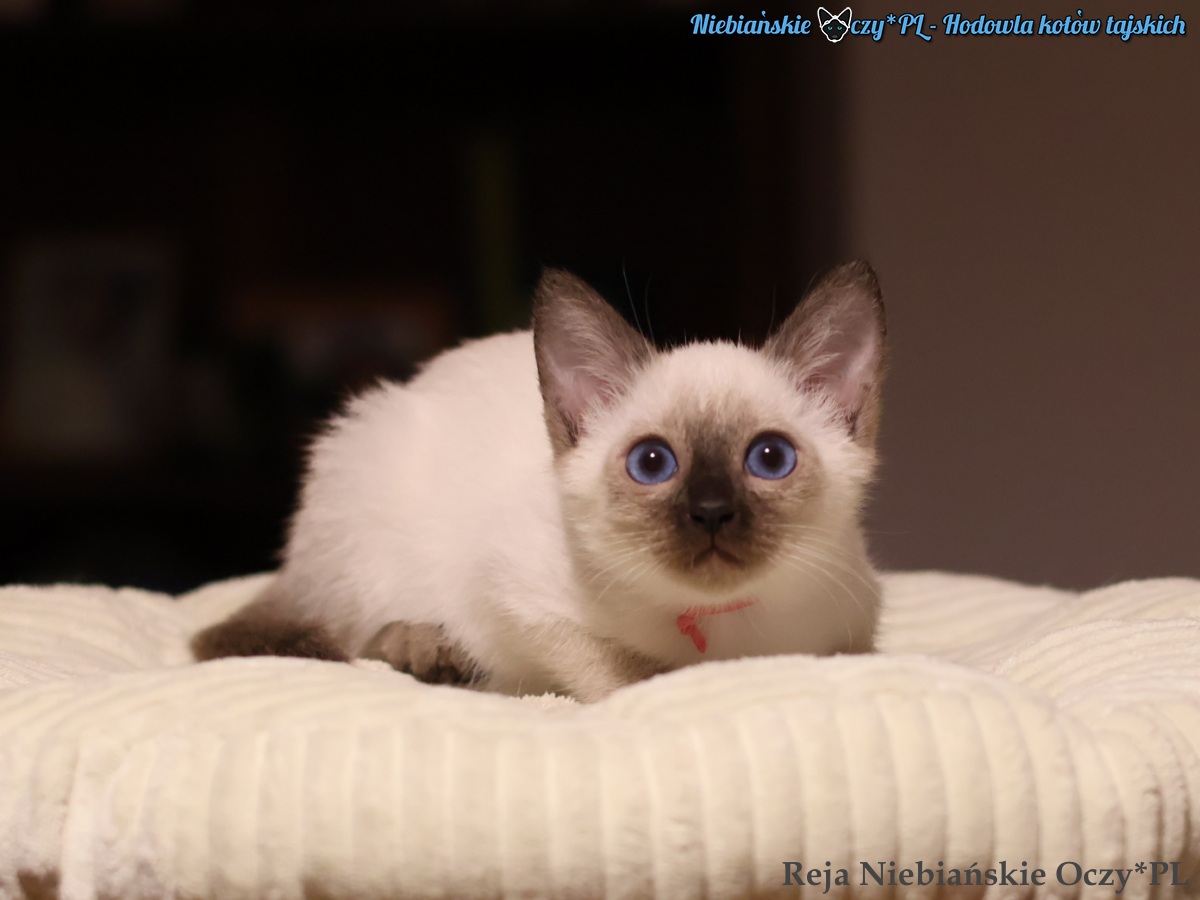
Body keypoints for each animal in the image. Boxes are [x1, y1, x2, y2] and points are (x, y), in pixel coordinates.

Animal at [192, 261, 887, 702]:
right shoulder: (521, 597)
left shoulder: (849, 627)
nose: (711, 511)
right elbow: (631, 672)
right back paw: (432, 651)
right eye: (652, 464)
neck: (715, 627)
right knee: (353, 630)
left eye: (769, 459)